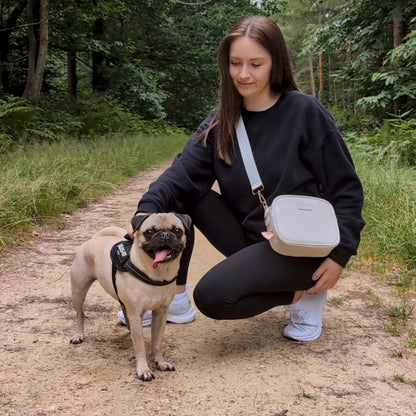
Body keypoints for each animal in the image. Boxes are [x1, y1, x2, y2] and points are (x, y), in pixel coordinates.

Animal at [69, 214, 190, 380]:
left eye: (177, 231)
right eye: (149, 232)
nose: (165, 235)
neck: (157, 273)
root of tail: (93, 239)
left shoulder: (160, 313)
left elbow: (157, 343)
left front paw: (160, 363)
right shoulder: (136, 314)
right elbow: (140, 346)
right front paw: (143, 370)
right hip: (78, 292)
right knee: (80, 314)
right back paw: (78, 335)